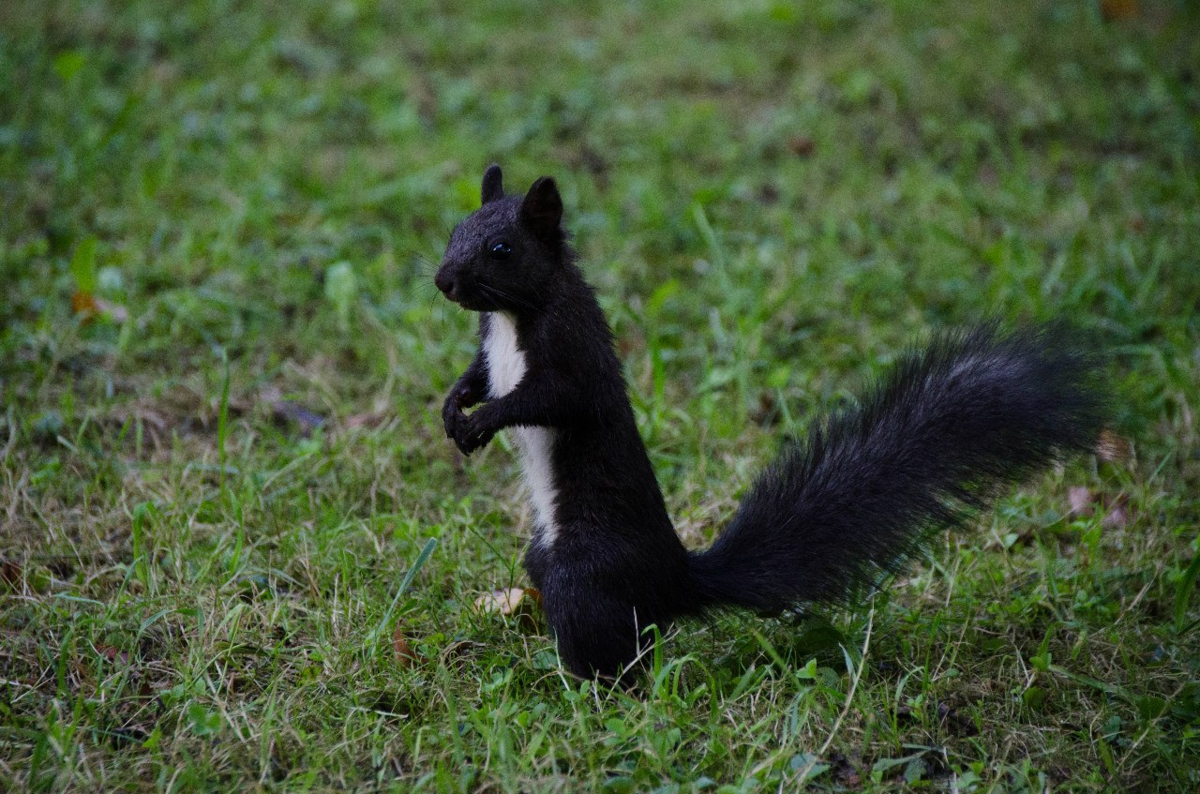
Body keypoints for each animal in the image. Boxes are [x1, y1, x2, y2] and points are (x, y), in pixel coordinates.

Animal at [434, 164, 1104, 681]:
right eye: (453, 231)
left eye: (502, 250)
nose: (444, 281)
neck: (513, 318)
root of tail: (676, 580)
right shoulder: (490, 350)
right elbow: (476, 375)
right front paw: (453, 407)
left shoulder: (573, 354)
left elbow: (549, 400)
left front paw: (484, 420)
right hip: (544, 559)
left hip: (584, 570)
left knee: (621, 649)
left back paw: (587, 688)